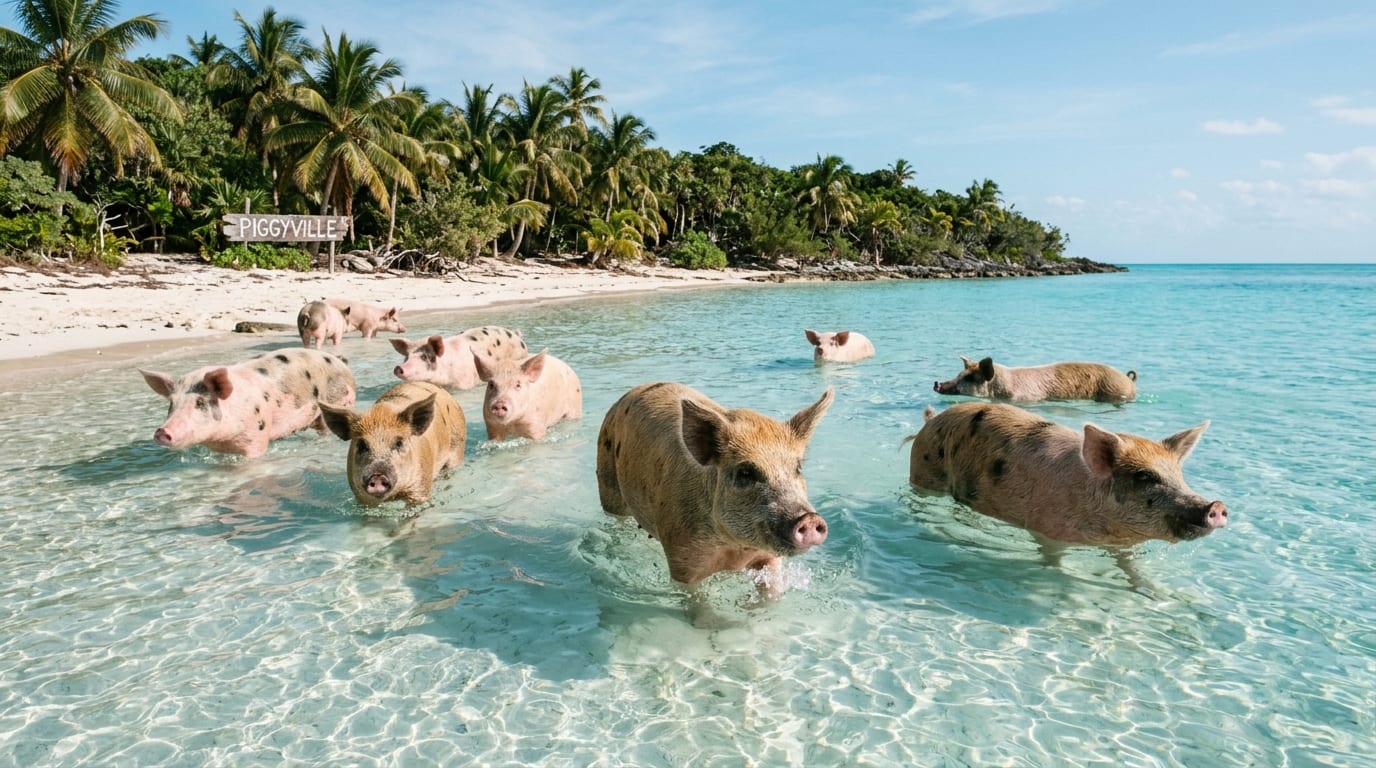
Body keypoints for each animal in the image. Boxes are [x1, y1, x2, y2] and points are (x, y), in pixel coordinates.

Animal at [139, 349, 357, 458]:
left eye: (200, 402)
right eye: (171, 404)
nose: (162, 431)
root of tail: (340, 361)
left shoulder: (256, 435)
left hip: (340, 402)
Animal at [319, 381, 467, 506]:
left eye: (399, 443)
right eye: (361, 445)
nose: (377, 474)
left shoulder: (420, 487)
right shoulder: (360, 495)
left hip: (457, 450)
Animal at [596, 382, 835, 587]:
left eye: (798, 468)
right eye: (745, 473)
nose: (809, 519)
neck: (734, 550)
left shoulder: (768, 557)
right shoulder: (682, 560)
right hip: (607, 484)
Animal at [904, 402, 1228, 546]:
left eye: (1180, 476)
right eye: (1145, 478)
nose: (1215, 505)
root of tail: (931, 420)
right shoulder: (1048, 530)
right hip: (923, 471)